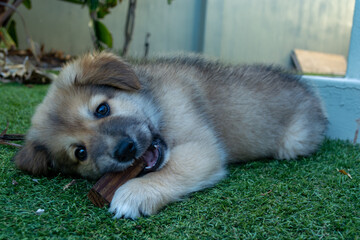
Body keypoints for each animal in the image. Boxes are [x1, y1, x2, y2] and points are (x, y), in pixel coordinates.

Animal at [14, 51, 330, 218]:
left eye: (102, 109)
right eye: (80, 153)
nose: (126, 150)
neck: (158, 104)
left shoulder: (202, 148)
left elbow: (171, 170)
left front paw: (133, 194)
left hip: (293, 143)